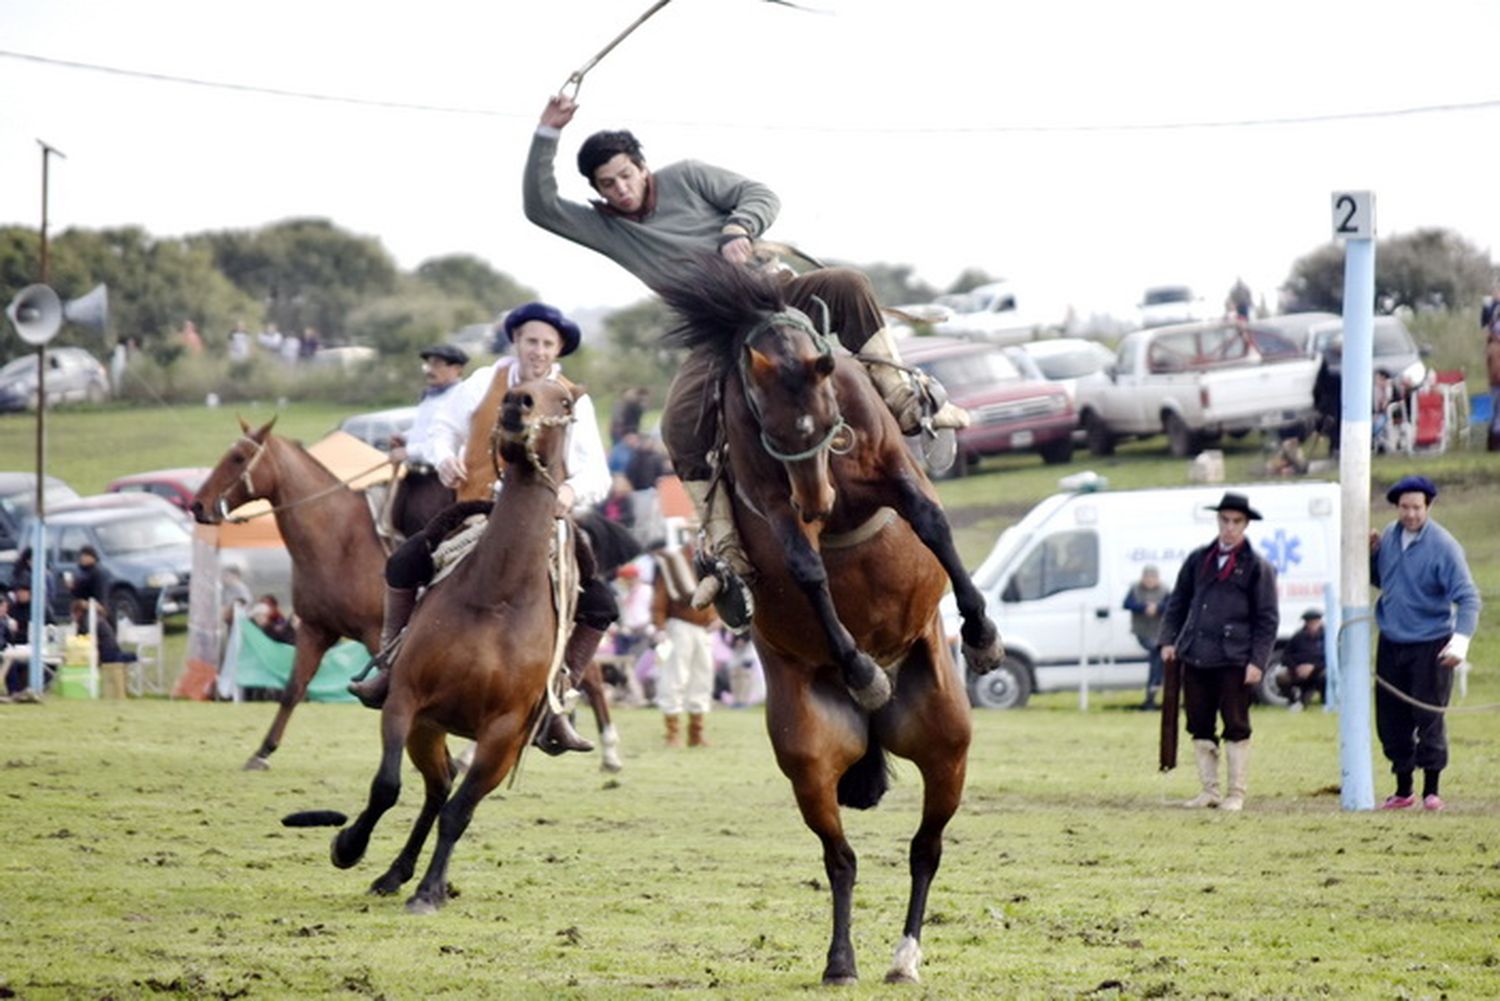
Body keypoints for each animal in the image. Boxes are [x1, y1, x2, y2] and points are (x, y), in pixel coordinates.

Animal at [190, 420, 387, 774]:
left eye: (238, 458)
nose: (197, 505)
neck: (342, 541)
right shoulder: (314, 630)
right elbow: (293, 689)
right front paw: (262, 751)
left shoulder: (378, 634)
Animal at [328, 378, 579, 918]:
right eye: (517, 386)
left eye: (566, 400)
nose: (517, 406)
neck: (497, 595)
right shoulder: (406, 699)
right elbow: (387, 786)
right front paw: (348, 845)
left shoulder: (502, 736)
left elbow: (460, 813)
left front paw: (429, 891)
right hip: (428, 726)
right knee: (436, 786)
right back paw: (393, 872)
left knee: (448, 796)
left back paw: (420, 879)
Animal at [660, 255, 1002, 990]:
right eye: (769, 425)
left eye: (828, 417)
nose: (817, 499)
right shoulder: (776, 502)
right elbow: (805, 565)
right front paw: (860, 667)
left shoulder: (892, 472)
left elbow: (930, 520)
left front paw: (983, 633)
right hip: (810, 759)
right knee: (840, 857)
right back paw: (842, 959)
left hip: (948, 744)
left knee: (926, 847)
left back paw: (905, 955)